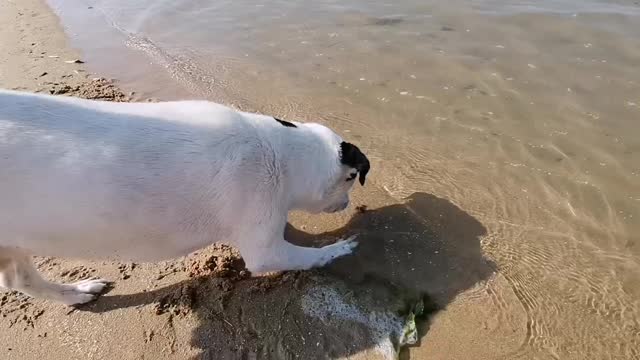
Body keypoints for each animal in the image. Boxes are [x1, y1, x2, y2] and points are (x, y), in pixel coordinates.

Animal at [0, 89, 370, 304]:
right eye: (351, 181)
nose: (348, 205)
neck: (280, 151)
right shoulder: (265, 241)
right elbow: (303, 256)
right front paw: (339, 249)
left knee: (20, 279)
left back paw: (73, 293)